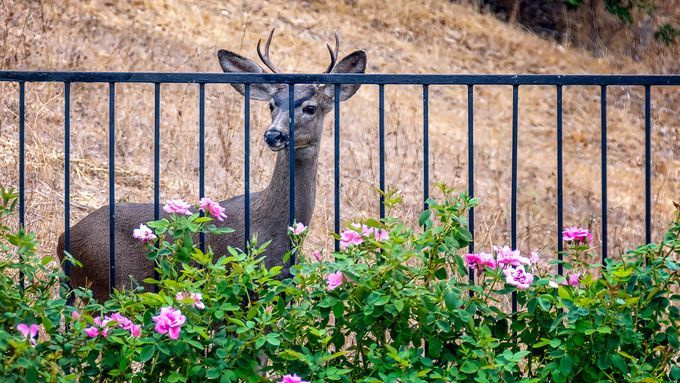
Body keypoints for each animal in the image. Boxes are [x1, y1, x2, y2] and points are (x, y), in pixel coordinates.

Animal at [57, 28, 366, 302]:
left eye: (310, 108)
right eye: (272, 105)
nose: (273, 135)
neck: (273, 227)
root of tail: (63, 242)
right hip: (114, 283)